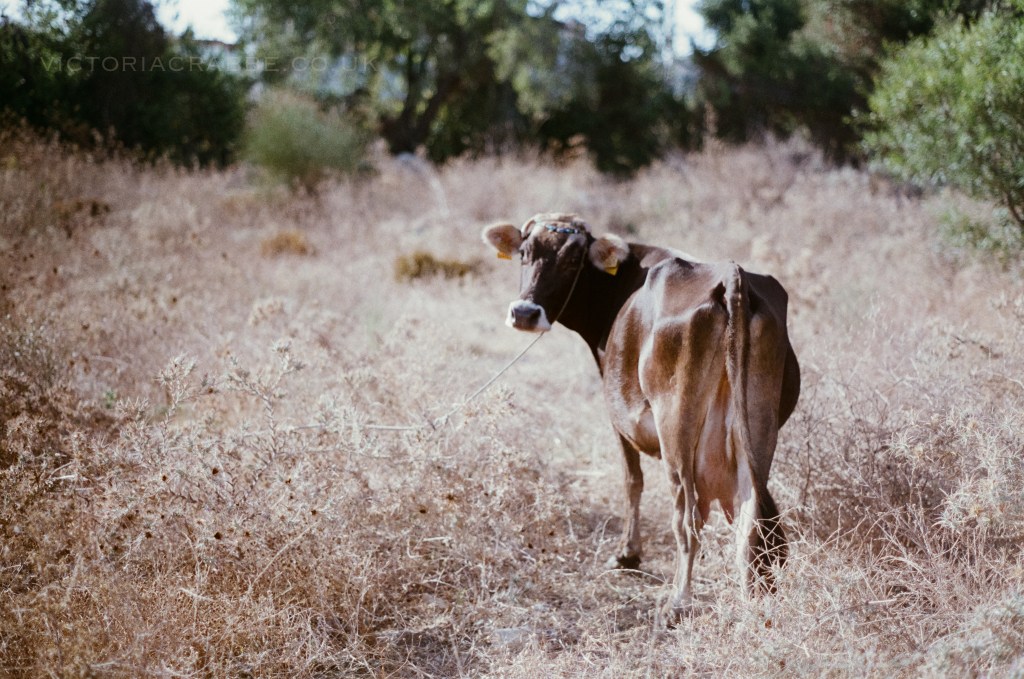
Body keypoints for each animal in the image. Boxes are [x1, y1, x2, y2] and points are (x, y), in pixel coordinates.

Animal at [482, 213, 800, 623]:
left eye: (572, 261)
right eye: (524, 252)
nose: (525, 312)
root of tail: (731, 275)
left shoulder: (618, 418)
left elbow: (631, 480)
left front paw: (627, 555)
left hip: (675, 426)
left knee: (687, 517)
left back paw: (677, 604)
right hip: (757, 428)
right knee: (751, 512)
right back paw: (751, 599)